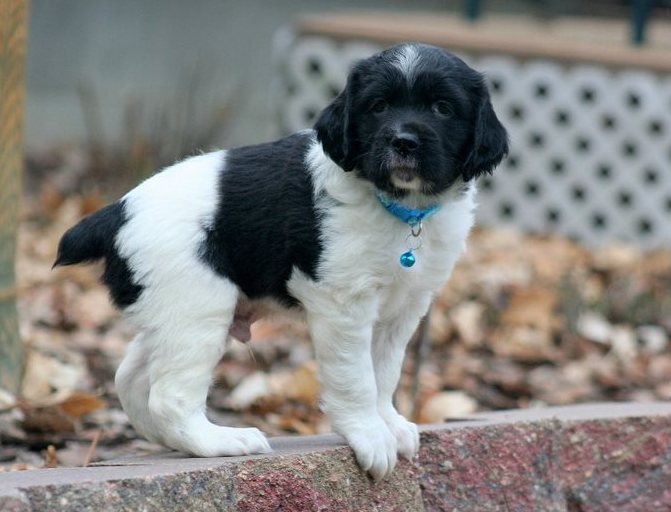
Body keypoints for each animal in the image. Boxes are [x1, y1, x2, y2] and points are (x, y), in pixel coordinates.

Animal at [56, 44, 510, 480]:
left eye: (443, 108)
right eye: (379, 106)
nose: (403, 142)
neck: (401, 207)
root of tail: (117, 210)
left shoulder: (403, 308)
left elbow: (383, 372)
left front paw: (389, 424)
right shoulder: (343, 305)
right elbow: (357, 378)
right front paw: (370, 436)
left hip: (170, 311)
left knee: (131, 379)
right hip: (198, 308)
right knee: (169, 396)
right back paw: (221, 441)